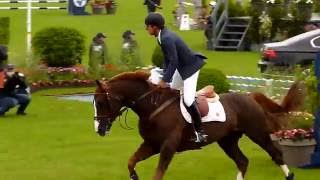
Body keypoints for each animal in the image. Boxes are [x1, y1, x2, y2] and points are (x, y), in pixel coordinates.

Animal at [94, 71, 304, 180]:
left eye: (102, 102)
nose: (99, 130)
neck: (152, 107)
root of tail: (250, 97)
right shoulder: (151, 145)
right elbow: (131, 161)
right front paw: (134, 176)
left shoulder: (167, 147)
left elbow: (158, 173)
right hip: (227, 141)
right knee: (243, 161)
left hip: (257, 133)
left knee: (276, 155)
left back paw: (289, 175)